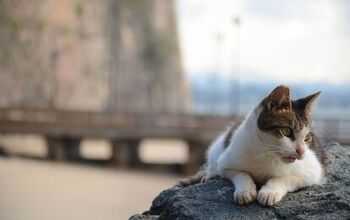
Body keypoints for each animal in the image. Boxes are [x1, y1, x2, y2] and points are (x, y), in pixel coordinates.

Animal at [179, 84, 330, 206]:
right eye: (287, 131)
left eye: (307, 138)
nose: (301, 151)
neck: (266, 153)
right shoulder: (226, 163)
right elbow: (241, 174)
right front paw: (245, 191)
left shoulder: (312, 170)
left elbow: (285, 177)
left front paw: (269, 192)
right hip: (219, 147)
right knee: (212, 162)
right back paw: (208, 175)